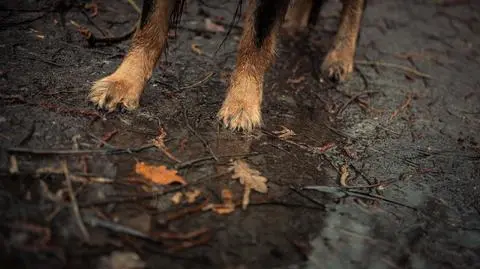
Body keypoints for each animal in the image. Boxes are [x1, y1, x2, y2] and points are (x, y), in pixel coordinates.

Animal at [89, 0, 364, 130]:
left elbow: (256, 40)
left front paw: (242, 103)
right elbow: (150, 24)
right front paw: (124, 82)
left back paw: (340, 56)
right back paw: (293, 27)